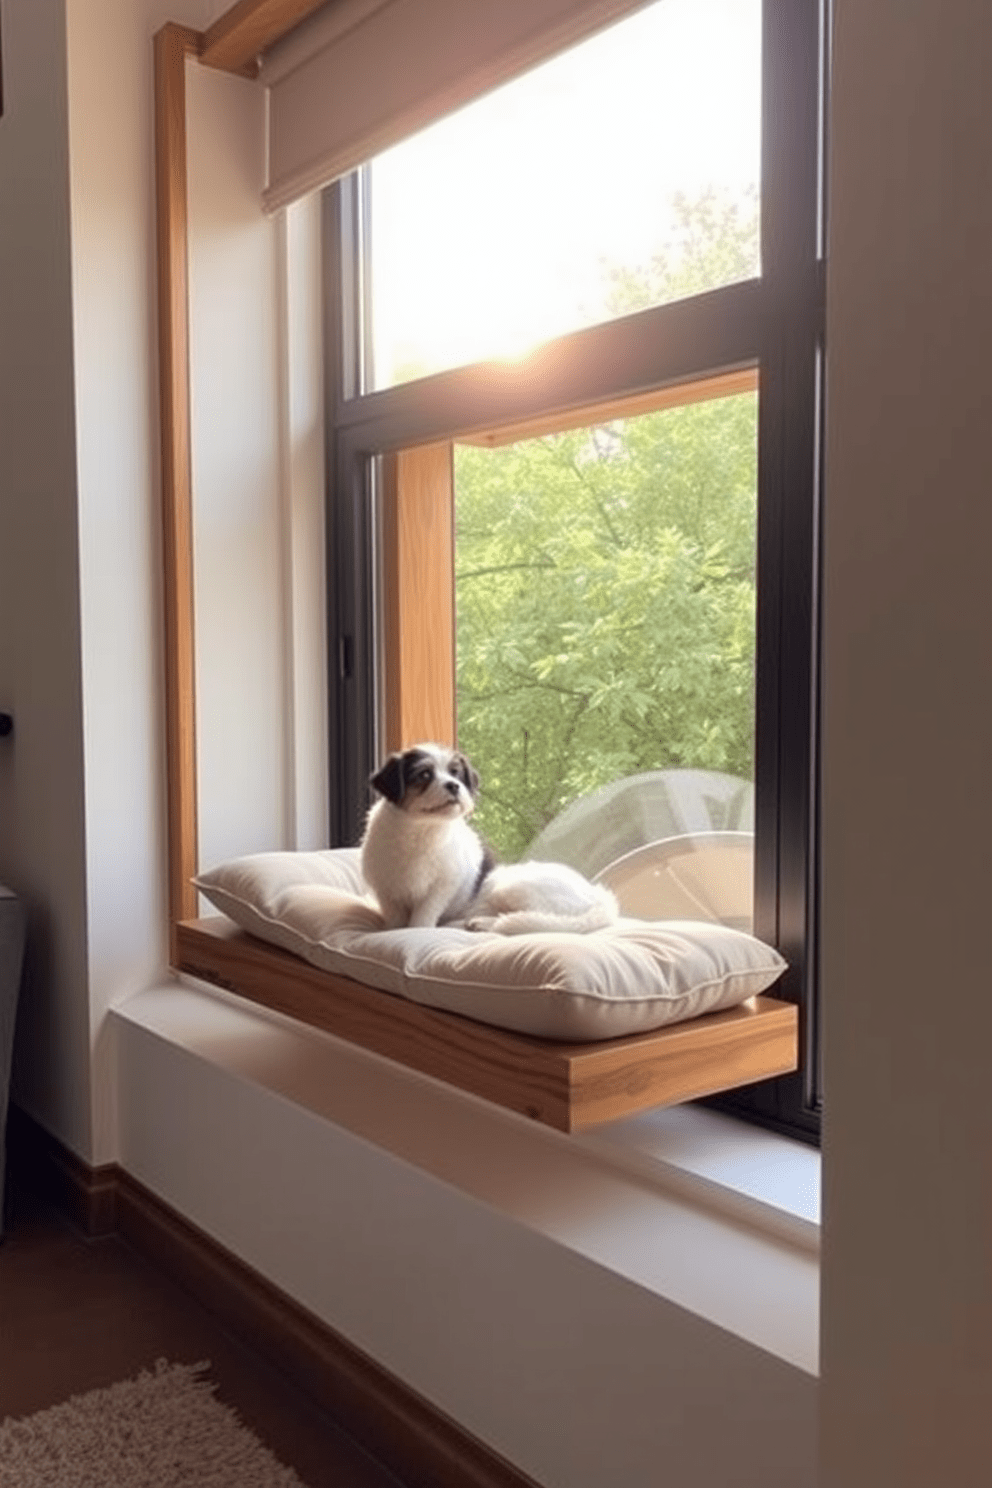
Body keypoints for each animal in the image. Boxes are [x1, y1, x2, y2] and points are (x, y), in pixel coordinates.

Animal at [361, 741, 615, 934]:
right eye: (424, 774)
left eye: (456, 773)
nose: (454, 786)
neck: (423, 830)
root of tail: (598, 897)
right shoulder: (386, 887)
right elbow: (394, 916)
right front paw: (391, 930)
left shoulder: (441, 888)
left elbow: (423, 915)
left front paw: (415, 930)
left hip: (510, 886)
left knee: (531, 917)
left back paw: (485, 923)